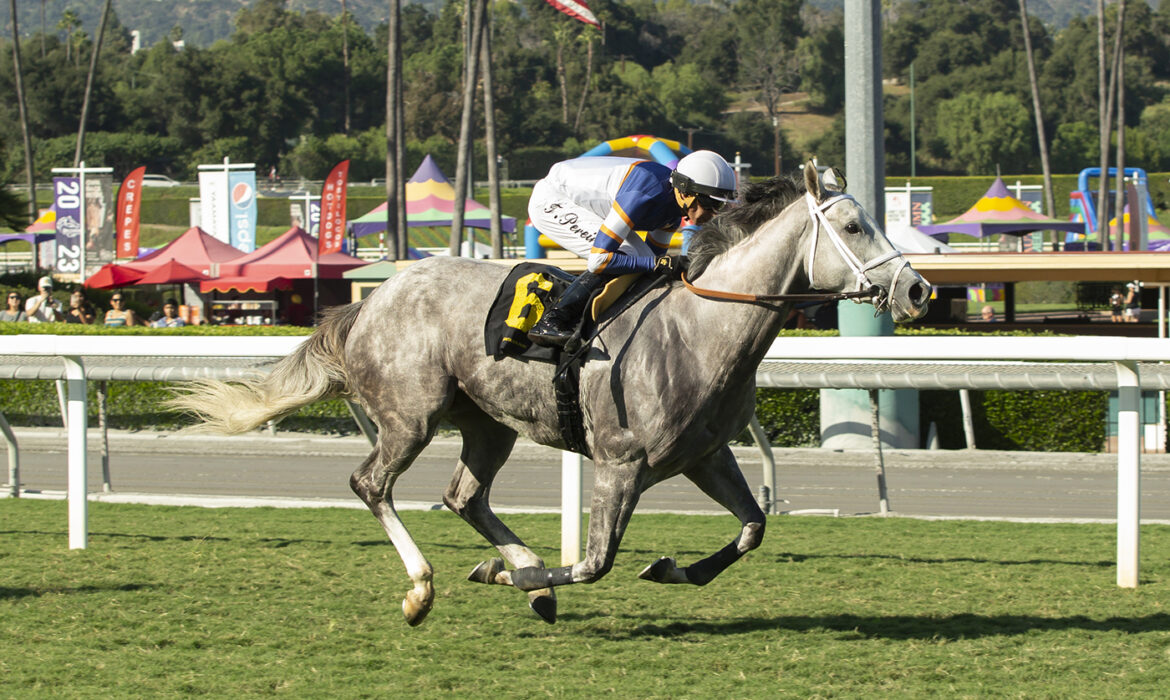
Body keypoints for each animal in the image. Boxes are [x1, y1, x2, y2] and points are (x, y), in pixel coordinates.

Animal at [169, 161, 926, 627]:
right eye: (853, 226)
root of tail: (372, 298)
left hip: (487, 422)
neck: (700, 328)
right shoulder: (621, 463)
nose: (917, 290)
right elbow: (593, 563)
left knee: (464, 496)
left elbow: (752, 528)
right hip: (411, 415)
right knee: (371, 484)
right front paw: (516, 581)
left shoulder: (706, 456)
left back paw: (522, 568)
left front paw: (666, 568)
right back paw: (428, 588)